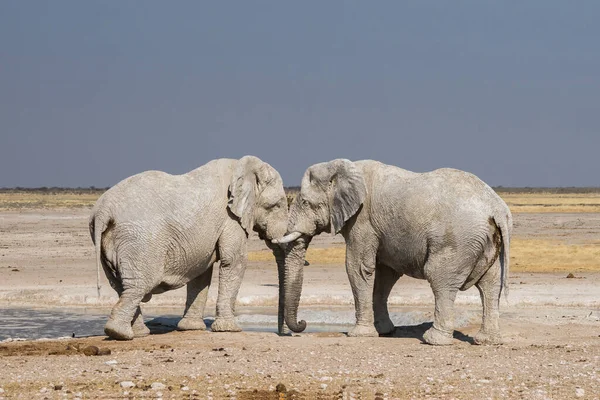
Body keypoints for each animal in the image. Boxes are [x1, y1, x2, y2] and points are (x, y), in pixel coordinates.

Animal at [87, 156, 290, 340]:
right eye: (277, 206)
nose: (284, 333)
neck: (243, 167)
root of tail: (103, 210)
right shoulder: (230, 219)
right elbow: (234, 262)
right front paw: (230, 330)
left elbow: (202, 270)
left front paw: (191, 328)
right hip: (140, 241)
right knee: (140, 284)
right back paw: (120, 333)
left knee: (121, 285)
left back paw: (137, 333)